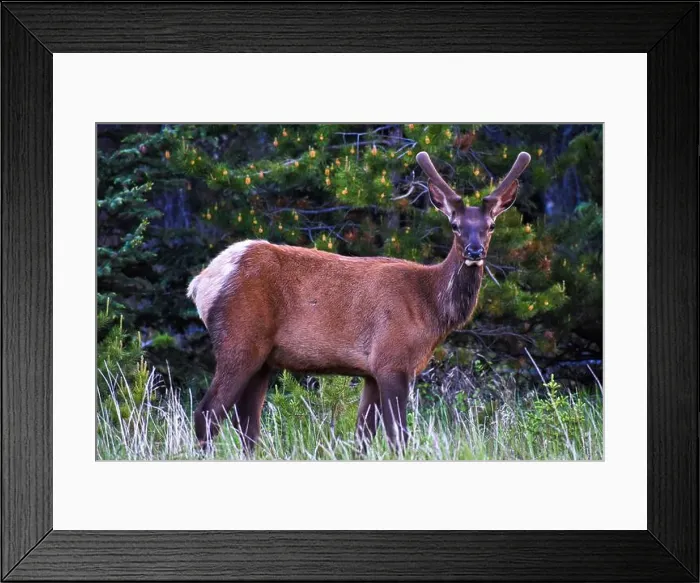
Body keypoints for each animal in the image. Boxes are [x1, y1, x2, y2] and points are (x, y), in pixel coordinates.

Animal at [187, 150, 531, 453]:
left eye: (491, 226)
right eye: (455, 225)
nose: (475, 251)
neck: (430, 309)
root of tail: (201, 283)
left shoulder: (370, 371)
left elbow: (362, 437)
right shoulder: (392, 359)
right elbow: (398, 437)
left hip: (264, 359)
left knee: (247, 425)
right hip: (240, 340)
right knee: (207, 413)